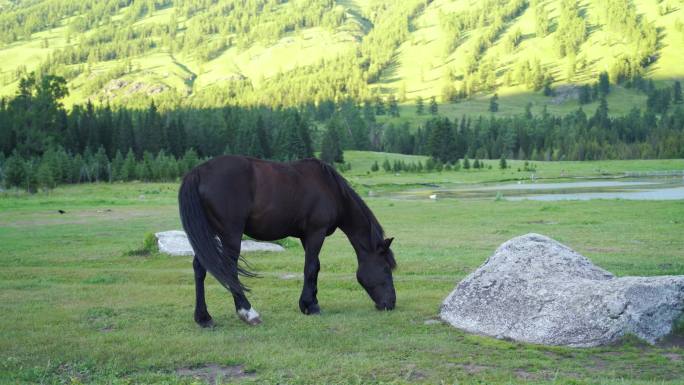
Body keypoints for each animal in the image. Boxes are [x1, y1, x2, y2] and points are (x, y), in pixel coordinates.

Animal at [179, 154, 398, 326]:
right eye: (386, 268)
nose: (391, 304)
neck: (331, 189)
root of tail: (198, 172)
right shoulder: (316, 233)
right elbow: (311, 267)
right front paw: (310, 306)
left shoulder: (305, 237)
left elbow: (315, 267)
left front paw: (312, 302)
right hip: (230, 235)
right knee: (230, 269)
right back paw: (248, 313)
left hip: (209, 234)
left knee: (200, 268)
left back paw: (204, 318)